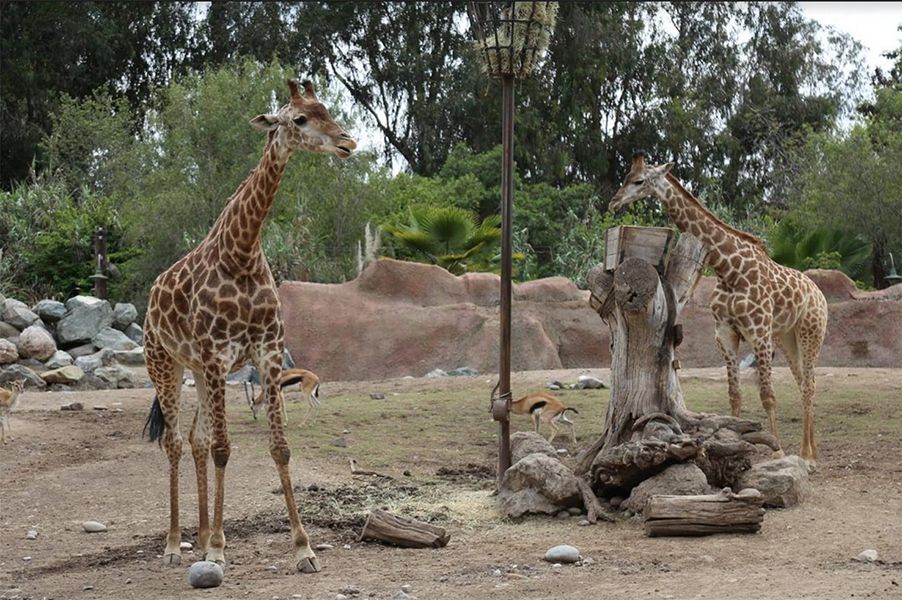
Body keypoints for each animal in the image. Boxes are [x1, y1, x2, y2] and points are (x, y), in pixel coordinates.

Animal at [142, 79, 356, 572]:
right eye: (299, 118)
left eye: (327, 109)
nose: (347, 143)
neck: (240, 253)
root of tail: (149, 298)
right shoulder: (218, 355)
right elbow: (225, 448)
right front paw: (221, 549)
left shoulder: (267, 352)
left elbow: (279, 447)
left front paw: (303, 548)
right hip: (165, 364)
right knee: (176, 442)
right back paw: (174, 545)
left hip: (198, 371)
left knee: (197, 440)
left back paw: (201, 538)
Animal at [612, 151, 828, 468]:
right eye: (626, 177)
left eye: (639, 180)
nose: (613, 202)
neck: (728, 270)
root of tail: (820, 294)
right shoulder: (725, 333)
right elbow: (734, 394)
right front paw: (734, 442)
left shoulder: (759, 332)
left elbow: (767, 395)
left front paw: (777, 451)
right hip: (787, 338)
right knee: (805, 382)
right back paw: (812, 451)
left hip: (810, 332)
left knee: (810, 384)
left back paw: (806, 455)